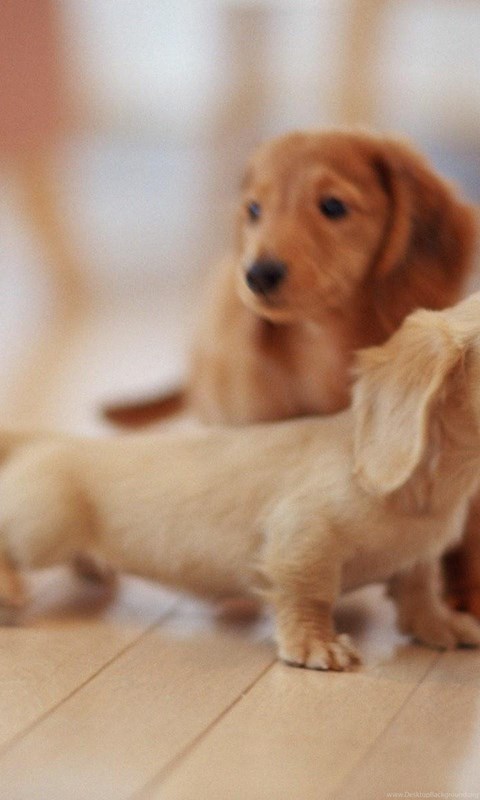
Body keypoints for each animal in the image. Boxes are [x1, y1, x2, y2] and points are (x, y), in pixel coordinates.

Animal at [3, 293, 480, 670]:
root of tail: (47, 440)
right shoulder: (303, 538)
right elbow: (309, 593)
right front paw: (316, 645)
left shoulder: (419, 558)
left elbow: (419, 590)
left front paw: (440, 626)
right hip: (43, 532)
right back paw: (10, 591)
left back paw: (93, 566)